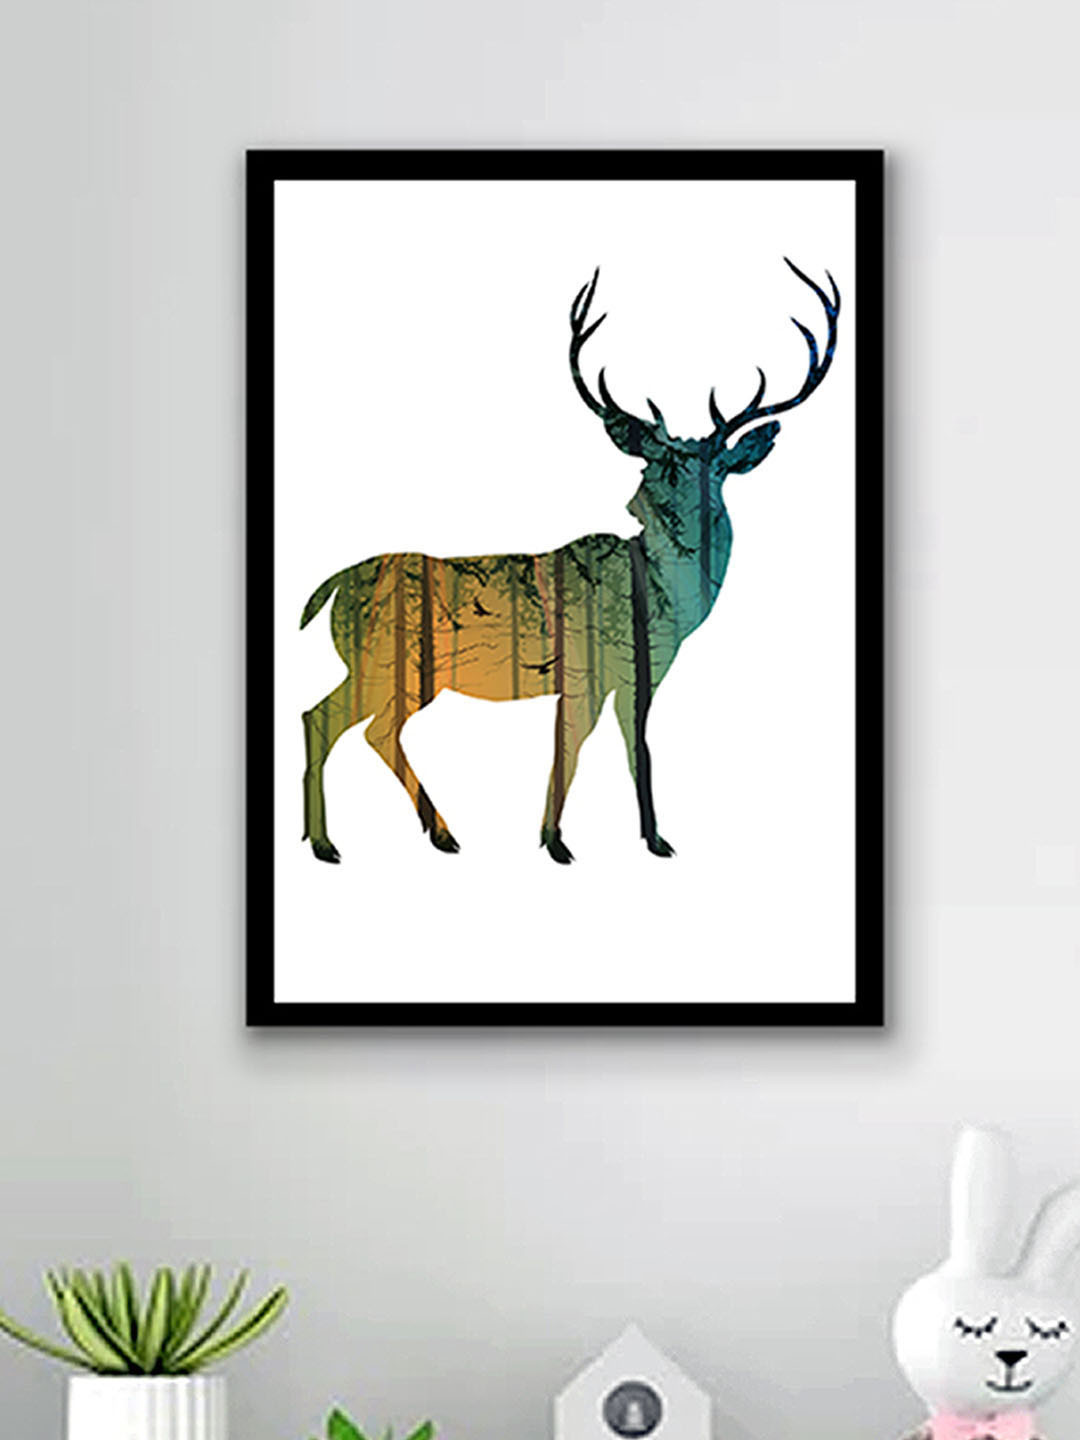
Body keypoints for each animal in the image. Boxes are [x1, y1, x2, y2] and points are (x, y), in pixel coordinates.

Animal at [299, 259, 840, 864]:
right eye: (649, 465)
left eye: (713, 469)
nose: (640, 502)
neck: (662, 606)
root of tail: (331, 588)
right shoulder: (586, 668)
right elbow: (571, 748)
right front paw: (556, 842)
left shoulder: (637, 676)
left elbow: (636, 748)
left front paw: (654, 839)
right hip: (385, 659)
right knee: (327, 718)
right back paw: (329, 842)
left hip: (398, 671)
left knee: (365, 726)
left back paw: (436, 834)